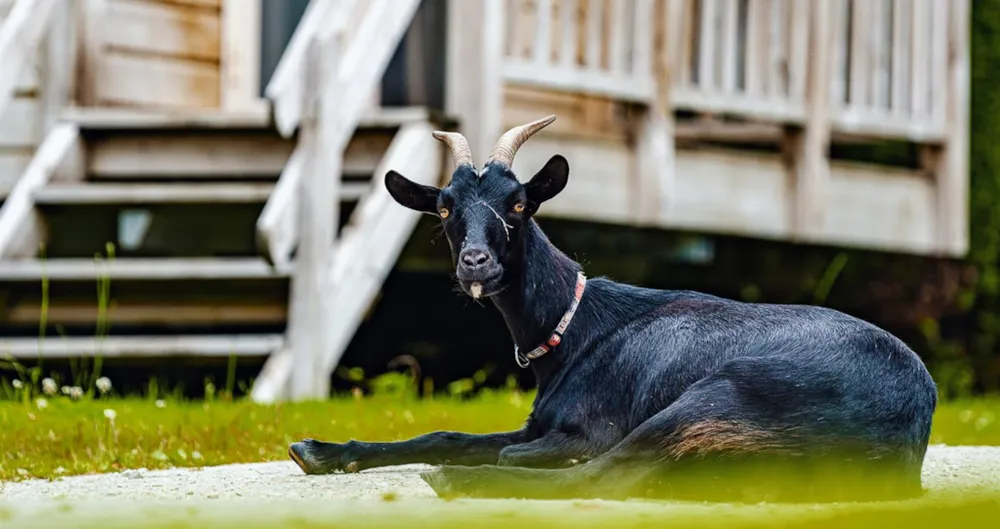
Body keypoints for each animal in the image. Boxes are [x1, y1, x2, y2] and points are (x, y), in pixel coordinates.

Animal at [288, 113, 936, 502]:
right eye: (445, 207)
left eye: (519, 203)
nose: (475, 262)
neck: (573, 331)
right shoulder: (539, 421)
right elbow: (446, 432)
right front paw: (318, 451)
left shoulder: (586, 430)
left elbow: (525, 451)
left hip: (719, 396)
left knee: (607, 474)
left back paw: (458, 481)